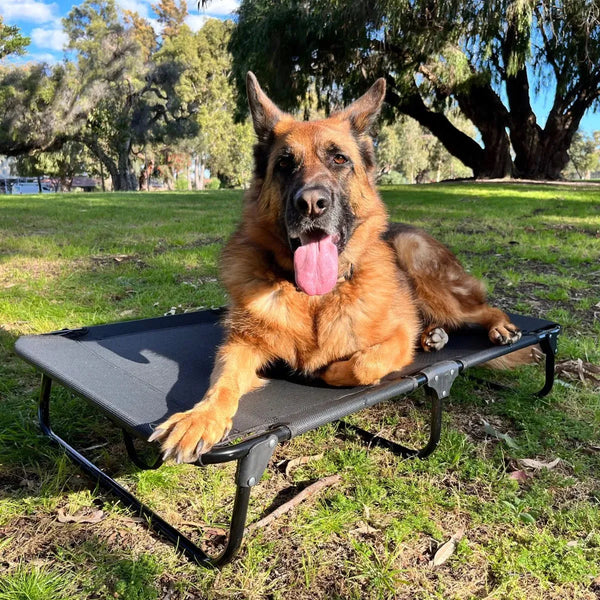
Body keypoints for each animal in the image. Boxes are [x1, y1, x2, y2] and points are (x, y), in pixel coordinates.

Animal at [150, 72, 520, 462]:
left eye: (339, 159)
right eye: (285, 164)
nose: (312, 203)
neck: (315, 298)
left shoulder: (396, 339)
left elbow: (362, 364)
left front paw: (327, 370)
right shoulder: (239, 344)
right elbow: (221, 381)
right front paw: (199, 417)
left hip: (422, 270)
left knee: (482, 308)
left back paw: (498, 328)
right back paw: (434, 336)